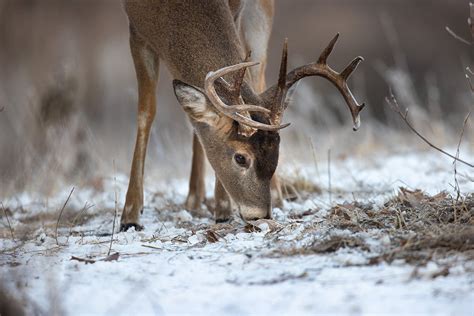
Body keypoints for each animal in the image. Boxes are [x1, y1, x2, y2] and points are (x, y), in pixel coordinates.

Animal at [120, 0, 364, 232]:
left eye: (277, 155)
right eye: (240, 158)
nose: (260, 215)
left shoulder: (235, 11)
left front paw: (223, 209)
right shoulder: (135, 30)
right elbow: (146, 112)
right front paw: (130, 216)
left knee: (258, 77)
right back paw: (193, 199)